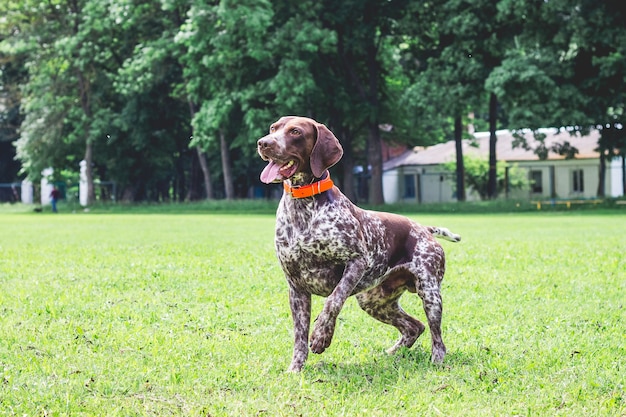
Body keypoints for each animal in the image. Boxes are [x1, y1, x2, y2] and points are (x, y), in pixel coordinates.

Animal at [255, 114, 458, 370]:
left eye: (295, 132)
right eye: (273, 128)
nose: (263, 143)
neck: (303, 207)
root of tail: (424, 228)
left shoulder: (357, 262)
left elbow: (333, 300)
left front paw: (321, 335)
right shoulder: (296, 287)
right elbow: (299, 336)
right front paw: (295, 368)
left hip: (429, 293)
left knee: (437, 338)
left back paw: (436, 362)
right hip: (373, 300)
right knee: (414, 326)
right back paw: (392, 354)